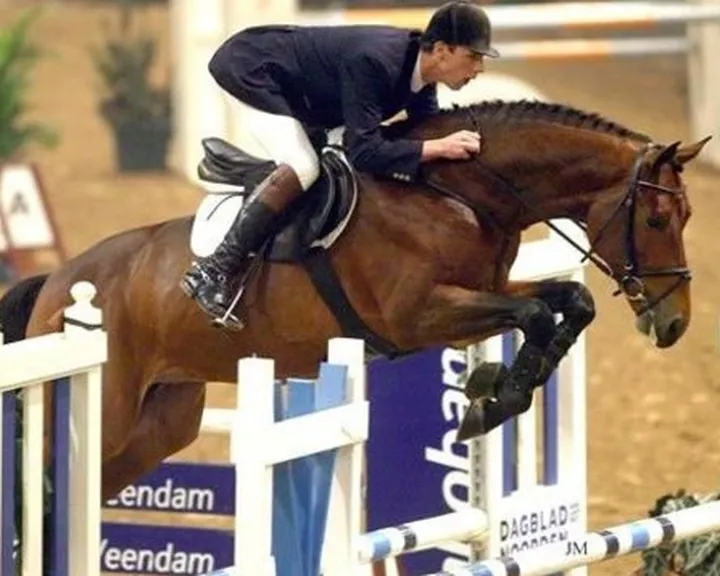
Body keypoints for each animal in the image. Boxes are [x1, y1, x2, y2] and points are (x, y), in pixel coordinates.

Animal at [0, 100, 709, 501]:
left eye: (688, 216)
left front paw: (489, 395)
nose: (675, 323)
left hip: (159, 424)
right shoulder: (420, 316)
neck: (455, 192)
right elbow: (537, 312)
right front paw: (491, 399)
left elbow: (568, 302)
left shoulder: (481, 294)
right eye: (655, 220)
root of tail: (59, 280)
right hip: (107, 413)